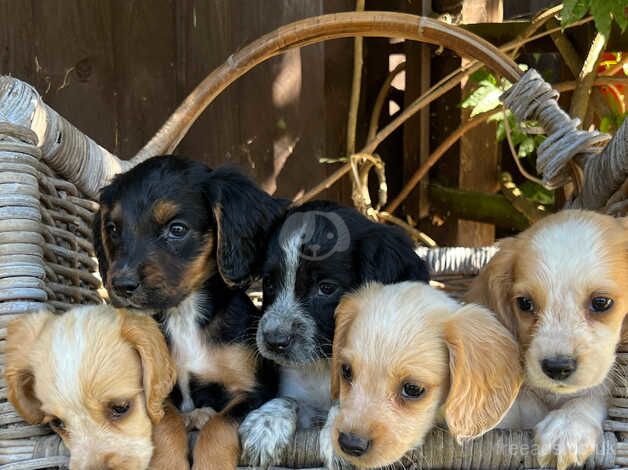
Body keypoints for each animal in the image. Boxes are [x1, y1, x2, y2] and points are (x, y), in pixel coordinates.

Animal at [91, 156, 284, 468]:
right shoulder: (153, 389)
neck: (183, 314)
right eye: (113, 229)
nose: (120, 286)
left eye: (177, 229)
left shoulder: (254, 390)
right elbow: (166, 421)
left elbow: (219, 425)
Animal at [238, 199, 430, 466]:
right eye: (269, 283)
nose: (274, 340)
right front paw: (264, 426)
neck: (325, 363)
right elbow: (289, 399)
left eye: (327, 288)